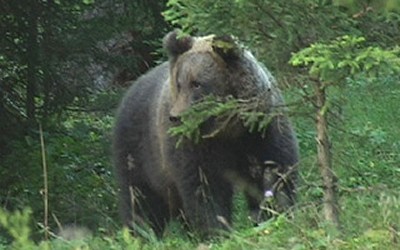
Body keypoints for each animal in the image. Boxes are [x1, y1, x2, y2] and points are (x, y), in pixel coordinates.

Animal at [111, 30, 298, 237]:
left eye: (197, 83)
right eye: (179, 83)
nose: (176, 117)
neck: (229, 130)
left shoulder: (261, 129)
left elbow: (276, 170)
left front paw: (274, 211)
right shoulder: (194, 145)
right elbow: (204, 187)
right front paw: (217, 230)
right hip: (139, 152)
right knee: (140, 199)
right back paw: (141, 233)